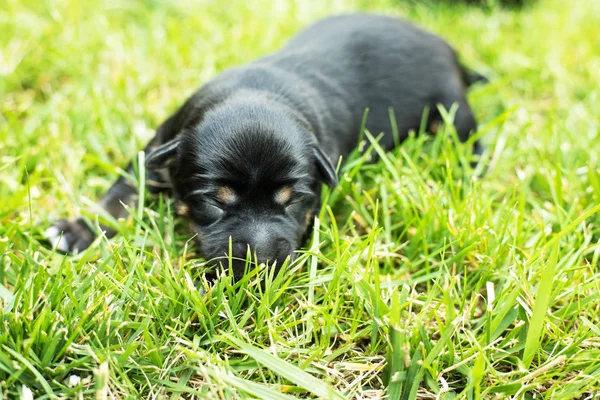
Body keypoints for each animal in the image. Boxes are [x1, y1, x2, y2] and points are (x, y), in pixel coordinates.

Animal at [45, 12, 488, 276]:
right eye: (215, 200)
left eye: (293, 200)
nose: (261, 267)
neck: (255, 92)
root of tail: (451, 51)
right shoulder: (159, 145)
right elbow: (125, 189)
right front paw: (79, 230)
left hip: (452, 110)